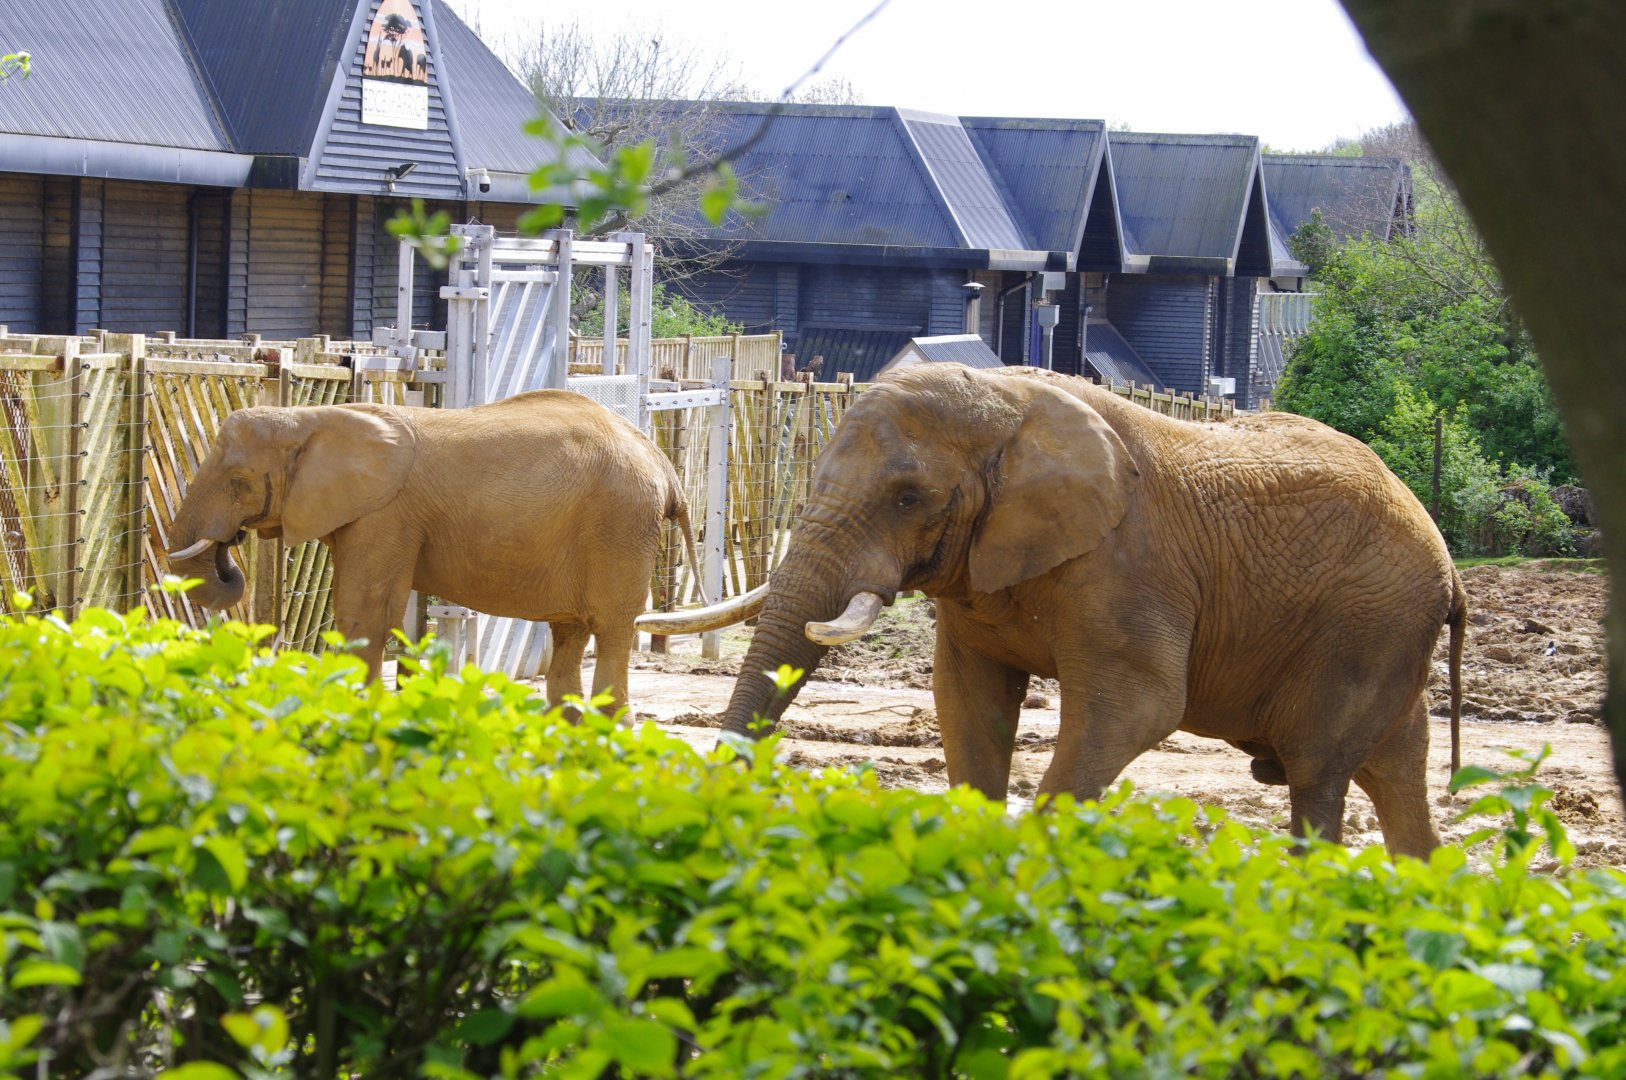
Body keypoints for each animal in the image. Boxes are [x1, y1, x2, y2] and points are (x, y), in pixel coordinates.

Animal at [166, 389, 703, 711]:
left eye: (238, 482)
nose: (230, 544)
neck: (308, 418)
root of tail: (661, 462)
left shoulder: (384, 513)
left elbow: (362, 612)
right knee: (569, 632)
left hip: (620, 525)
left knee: (611, 629)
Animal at [645, 364, 1465, 858]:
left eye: (908, 498)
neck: (1005, 402)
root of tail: (1453, 569)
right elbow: (967, 699)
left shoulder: (1130, 568)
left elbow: (1137, 708)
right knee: (1397, 775)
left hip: (1370, 628)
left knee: (1318, 778)